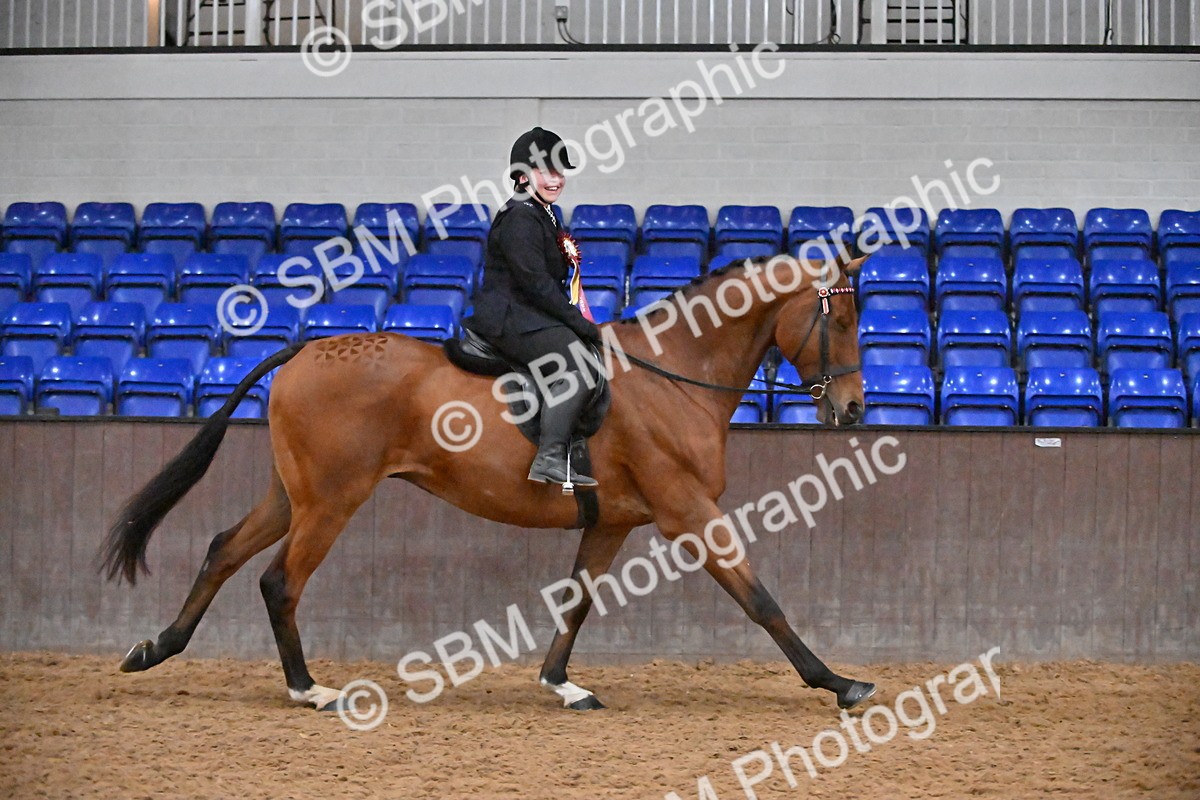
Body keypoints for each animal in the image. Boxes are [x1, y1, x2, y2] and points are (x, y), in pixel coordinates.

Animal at [101, 253, 877, 713]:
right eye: (840, 317)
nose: (852, 409)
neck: (675, 374)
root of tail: (305, 350)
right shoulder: (687, 511)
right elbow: (760, 600)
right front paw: (839, 683)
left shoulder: (613, 520)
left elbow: (577, 601)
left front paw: (561, 683)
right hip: (331, 501)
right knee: (278, 581)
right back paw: (308, 689)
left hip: (291, 495)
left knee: (224, 550)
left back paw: (155, 649)